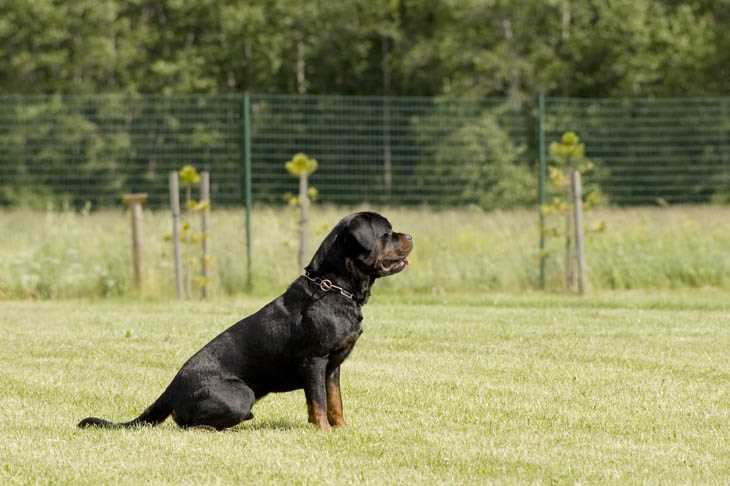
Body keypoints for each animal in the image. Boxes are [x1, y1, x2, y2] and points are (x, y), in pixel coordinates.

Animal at [79, 211, 412, 430]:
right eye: (387, 233)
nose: (410, 235)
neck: (334, 288)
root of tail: (171, 388)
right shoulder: (315, 360)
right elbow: (317, 402)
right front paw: (323, 431)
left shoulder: (333, 367)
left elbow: (334, 401)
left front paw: (341, 428)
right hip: (241, 394)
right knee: (186, 423)